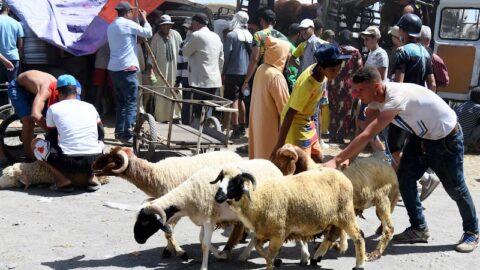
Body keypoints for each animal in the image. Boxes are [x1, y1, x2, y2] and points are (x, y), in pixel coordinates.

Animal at [92, 148, 244, 260]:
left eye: (110, 158)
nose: (92, 166)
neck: (155, 174)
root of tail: (237, 155)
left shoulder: (175, 208)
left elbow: (168, 232)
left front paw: (178, 251)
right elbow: (167, 230)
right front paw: (169, 250)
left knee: (238, 225)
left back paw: (229, 246)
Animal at [133, 158, 286, 270]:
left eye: (145, 221)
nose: (137, 239)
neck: (188, 196)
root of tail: (275, 167)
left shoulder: (208, 220)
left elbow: (205, 244)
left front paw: (204, 267)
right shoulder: (205, 220)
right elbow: (201, 239)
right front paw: (221, 255)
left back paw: (263, 257)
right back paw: (245, 255)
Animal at [212, 167, 366, 270]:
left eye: (235, 181)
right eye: (221, 179)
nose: (217, 197)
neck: (259, 199)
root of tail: (342, 175)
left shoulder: (279, 234)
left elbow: (270, 255)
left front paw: (272, 263)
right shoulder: (264, 233)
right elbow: (259, 248)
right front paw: (276, 262)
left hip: (346, 214)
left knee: (358, 236)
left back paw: (359, 265)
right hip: (335, 218)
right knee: (332, 235)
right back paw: (316, 256)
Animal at [272, 143, 400, 260]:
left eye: (281, 161)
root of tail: (387, 164)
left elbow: (334, 233)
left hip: (382, 200)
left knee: (389, 228)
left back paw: (375, 253)